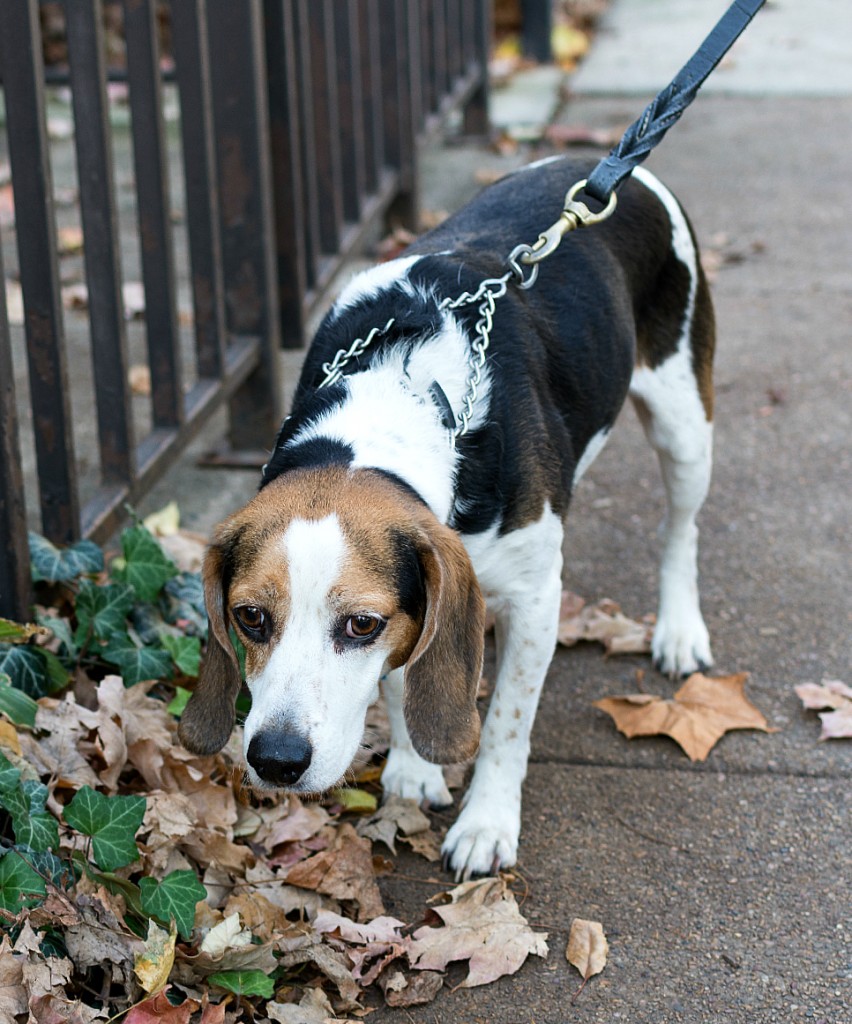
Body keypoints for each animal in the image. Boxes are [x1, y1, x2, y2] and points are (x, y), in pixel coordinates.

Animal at [178, 155, 712, 876]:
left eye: (361, 624)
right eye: (249, 617)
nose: (276, 760)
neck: (393, 403)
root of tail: (595, 165)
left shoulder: (536, 600)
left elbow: (508, 723)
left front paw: (486, 824)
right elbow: (406, 681)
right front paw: (412, 766)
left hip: (685, 429)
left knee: (679, 531)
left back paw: (679, 630)